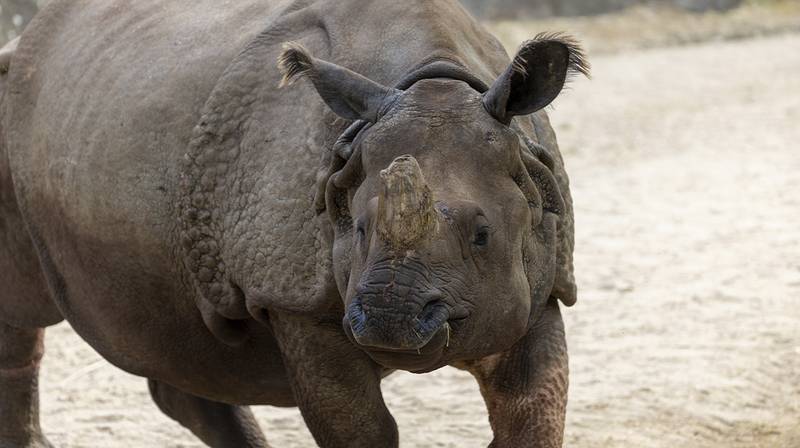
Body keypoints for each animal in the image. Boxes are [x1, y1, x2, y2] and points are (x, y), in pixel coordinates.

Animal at [0, 0, 587, 447]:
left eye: (483, 236)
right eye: (357, 230)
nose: (389, 322)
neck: (433, 83)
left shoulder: (542, 282)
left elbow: (532, 412)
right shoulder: (295, 299)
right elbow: (362, 429)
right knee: (22, 318)